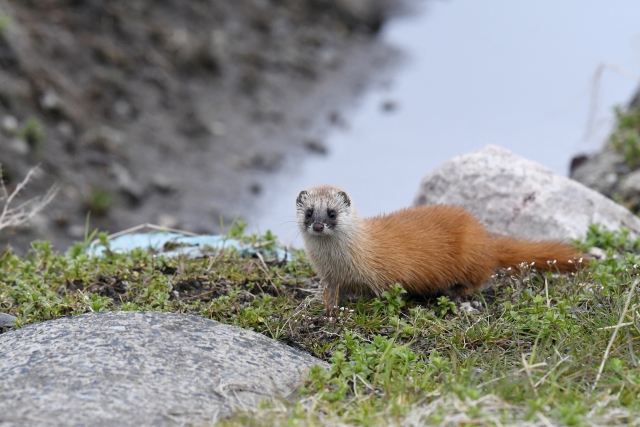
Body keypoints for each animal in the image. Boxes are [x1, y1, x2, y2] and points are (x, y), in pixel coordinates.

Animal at [296, 185, 584, 314]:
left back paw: (455, 291)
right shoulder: (329, 277)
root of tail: (486, 238)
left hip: (470, 255)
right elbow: (331, 296)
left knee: (480, 277)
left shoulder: (388, 274)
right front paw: (329, 312)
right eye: (309, 212)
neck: (342, 264)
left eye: (331, 212)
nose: (318, 225)